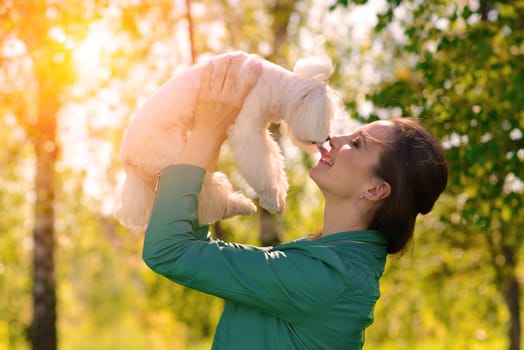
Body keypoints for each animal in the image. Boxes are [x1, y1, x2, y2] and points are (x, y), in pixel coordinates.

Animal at [115, 51, 342, 227]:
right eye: (326, 118)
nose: (328, 137)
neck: (270, 84)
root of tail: (127, 161)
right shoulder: (247, 131)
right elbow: (262, 168)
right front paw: (271, 200)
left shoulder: (260, 132)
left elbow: (274, 163)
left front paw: (279, 197)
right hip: (173, 155)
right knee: (209, 193)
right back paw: (241, 205)